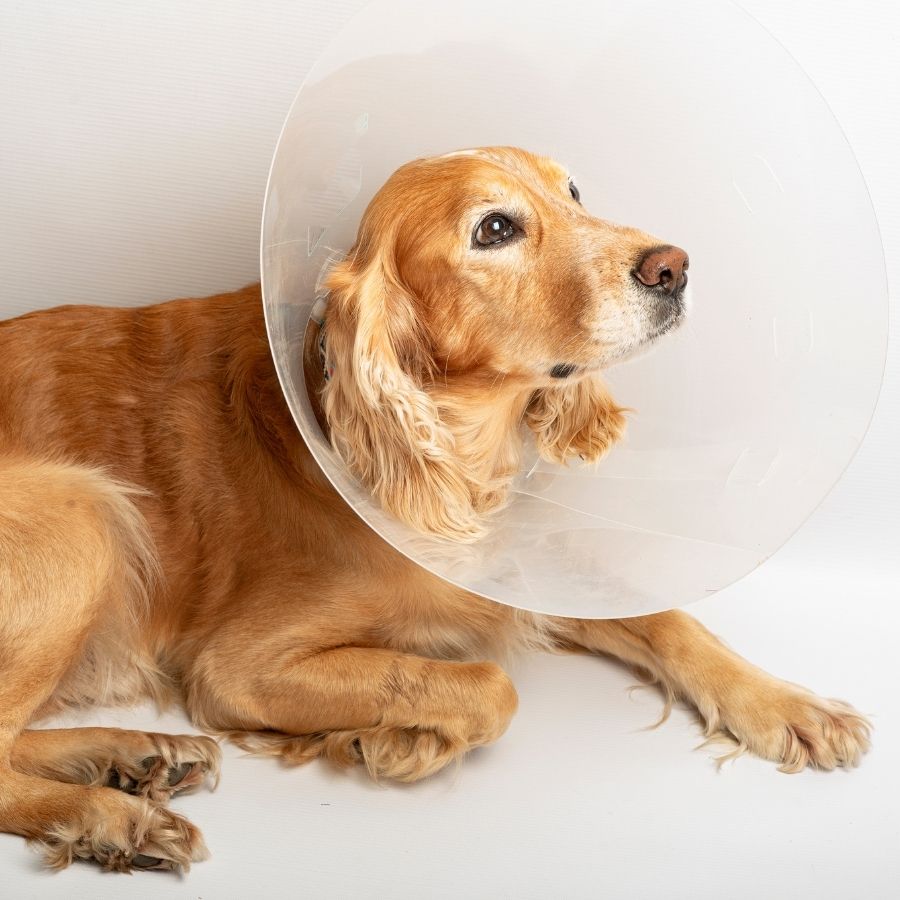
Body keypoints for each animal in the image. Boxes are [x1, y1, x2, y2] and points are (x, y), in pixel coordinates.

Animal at [0, 146, 872, 872]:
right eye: (495, 229)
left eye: (573, 191)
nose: (673, 267)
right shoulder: (237, 668)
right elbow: (488, 683)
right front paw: (396, 742)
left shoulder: (517, 572)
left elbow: (670, 618)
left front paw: (786, 703)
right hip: (85, 514)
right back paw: (108, 816)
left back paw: (134, 754)